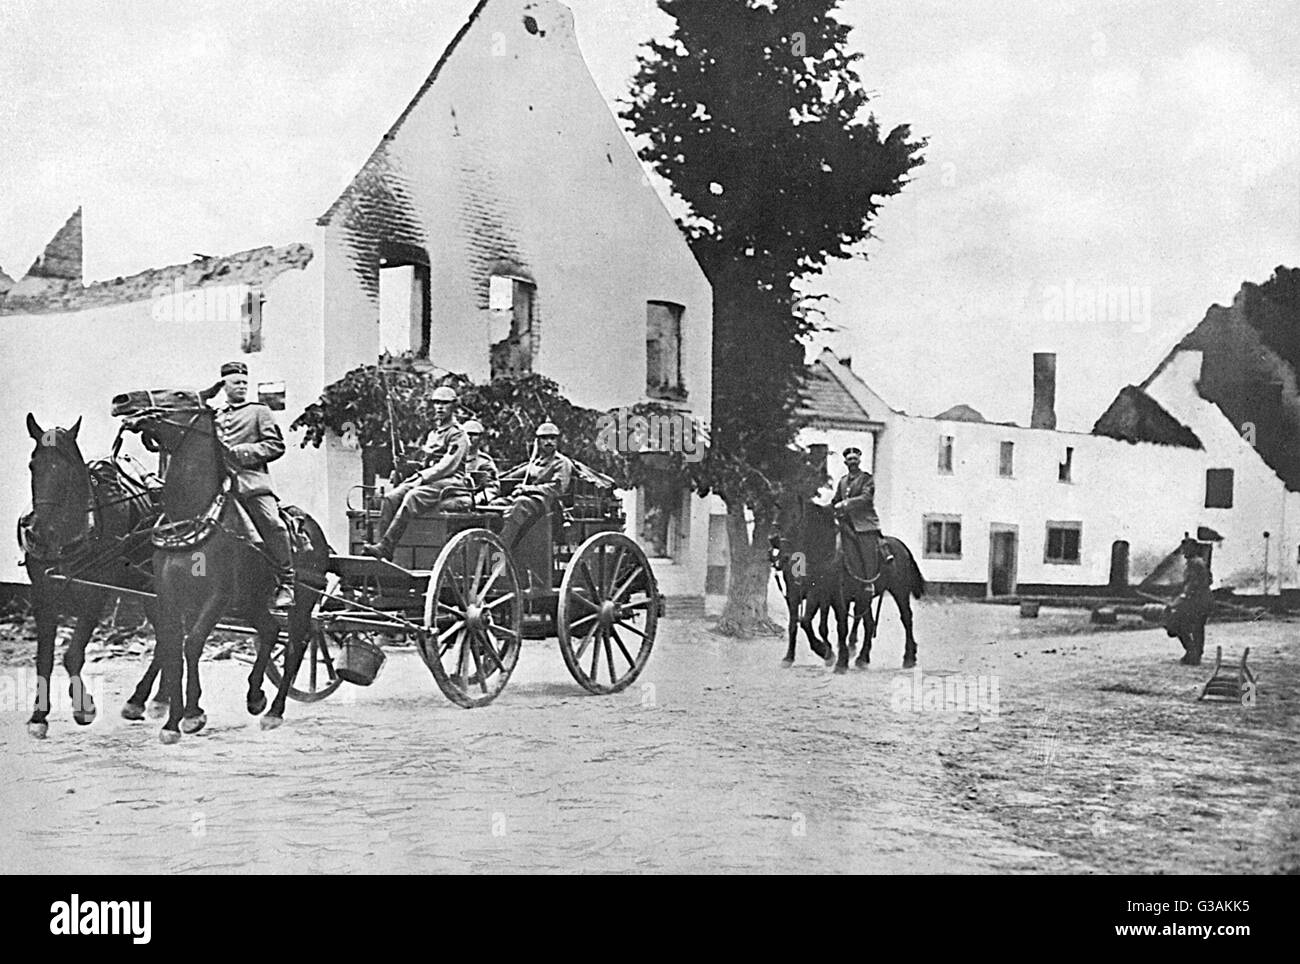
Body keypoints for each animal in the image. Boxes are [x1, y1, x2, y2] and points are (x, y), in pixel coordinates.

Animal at [113, 389, 330, 743]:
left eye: (180, 394)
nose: (123, 400)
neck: (190, 516)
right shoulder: (170, 595)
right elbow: (171, 649)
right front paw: (171, 721)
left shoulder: (217, 597)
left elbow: (192, 644)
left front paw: (192, 714)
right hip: (250, 601)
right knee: (270, 630)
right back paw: (255, 697)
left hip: (301, 602)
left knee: (295, 647)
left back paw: (274, 712)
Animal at [769, 498, 925, 670]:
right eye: (775, 513)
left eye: (794, 516)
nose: (773, 539)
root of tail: (902, 547)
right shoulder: (798, 594)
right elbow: (799, 624)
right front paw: (791, 657)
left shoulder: (824, 594)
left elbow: (825, 624)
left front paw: (832, 656)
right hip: (864, 597)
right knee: (869, 623)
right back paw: (862, 658)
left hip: (899, 591)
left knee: (906, 618)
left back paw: (909, 657)